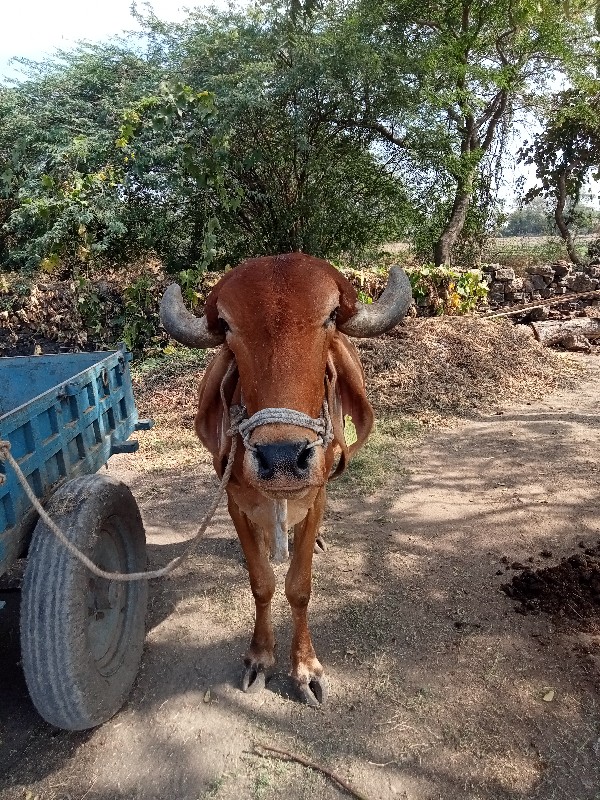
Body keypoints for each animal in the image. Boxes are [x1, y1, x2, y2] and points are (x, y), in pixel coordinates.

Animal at [159, 252, 412, 708]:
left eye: (330, 316)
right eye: (227, 326)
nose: (281, 458)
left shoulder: (316, 497)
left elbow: (299, 587)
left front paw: (305, 668)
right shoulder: (234, 502)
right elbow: (262, 583)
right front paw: (260, 657)